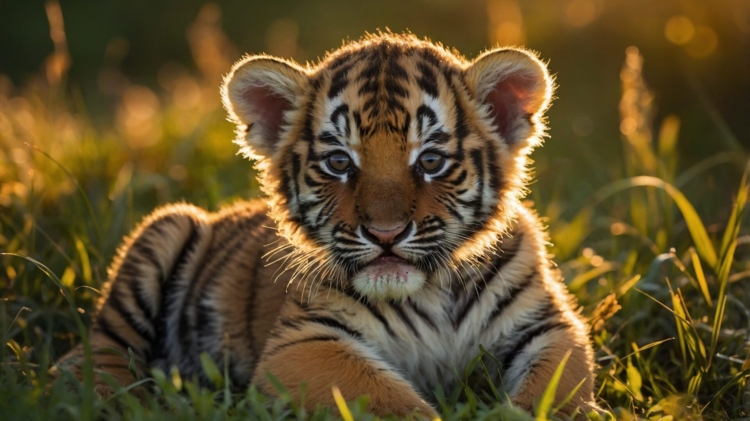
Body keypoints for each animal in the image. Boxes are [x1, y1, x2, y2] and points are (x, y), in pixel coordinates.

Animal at [53, 33, 598, 418]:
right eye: (339, 163)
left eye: (431, 161)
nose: (385, 234)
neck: (430, 294)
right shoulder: (304, 341)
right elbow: (392, 403)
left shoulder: (548, 327)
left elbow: (554, 394)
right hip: (165, 228)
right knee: (98, 353)